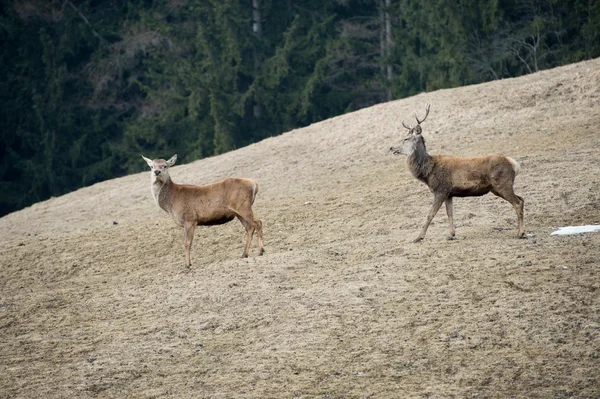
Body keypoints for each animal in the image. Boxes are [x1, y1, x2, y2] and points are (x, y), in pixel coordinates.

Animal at [390, 106, 524, 242]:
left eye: (406, 139)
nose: (391, 148)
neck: (428, 172)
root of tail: (514, 164)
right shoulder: (449, 193)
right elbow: (449, 213)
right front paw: (451, 234)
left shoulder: (441, 189)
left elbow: (430, 214)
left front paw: (418, 237)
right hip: (497, 188)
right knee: (521, 199)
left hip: (502, 183)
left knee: (517, 203)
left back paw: (520, 234)